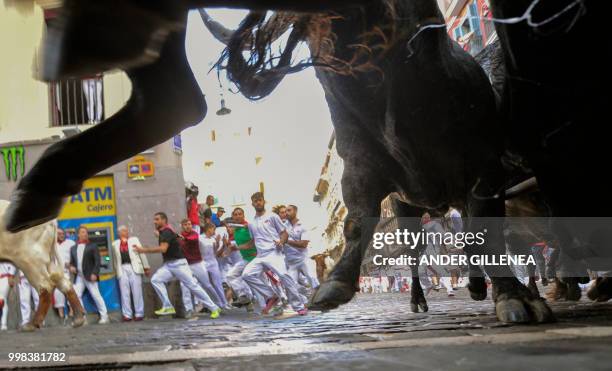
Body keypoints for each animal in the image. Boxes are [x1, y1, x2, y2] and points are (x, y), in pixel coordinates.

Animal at [2, 0, 608, 322]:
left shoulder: (483, 169)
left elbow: (486, 230)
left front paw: (515, 298)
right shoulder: (362, 169)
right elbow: (360, 221)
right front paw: (332, 287)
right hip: (411, 211)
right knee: (418, 256)